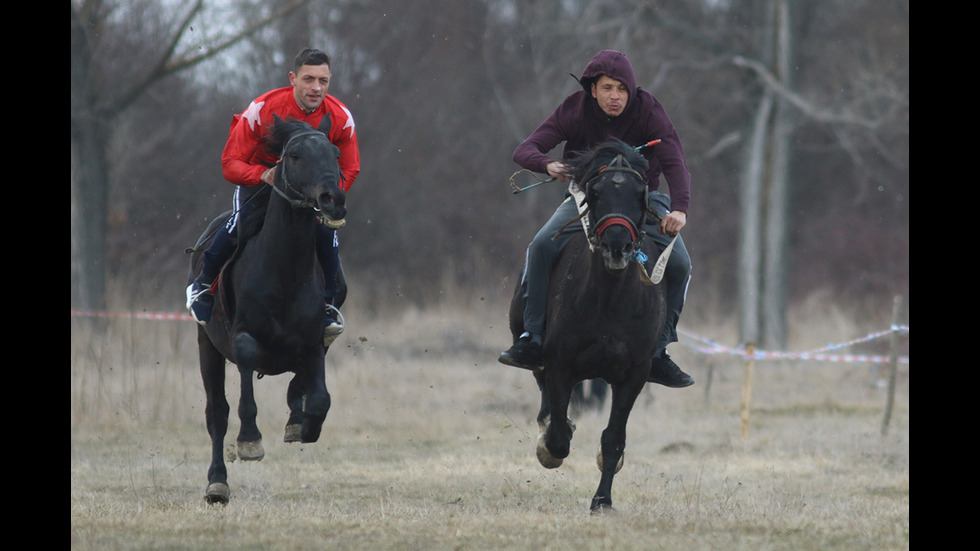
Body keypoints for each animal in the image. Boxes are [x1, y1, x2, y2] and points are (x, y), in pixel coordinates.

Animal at [188, 116, 348, 504]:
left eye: (335, 153)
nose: (332, 199)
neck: (285, 271)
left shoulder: (313, 341)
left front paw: (302, 424)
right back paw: (217, 483)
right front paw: (249, 440)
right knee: (217, 412)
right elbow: (246, 370)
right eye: (294, 155)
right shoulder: (243, 335)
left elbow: (319, 398)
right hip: (207, 346)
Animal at [506, 140, 668, 516]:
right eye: (595, 193)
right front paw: (549, 447)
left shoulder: (633, 376)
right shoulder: (560, 365)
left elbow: (613, 440)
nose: (617, 246)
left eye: (639, 193)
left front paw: (602, 500)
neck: (610, 299)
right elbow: (558, 437)